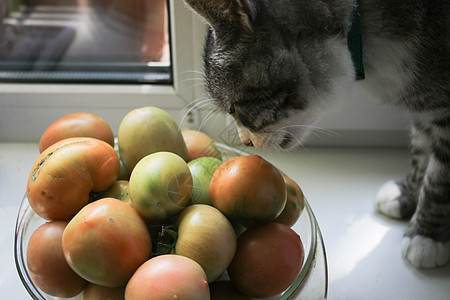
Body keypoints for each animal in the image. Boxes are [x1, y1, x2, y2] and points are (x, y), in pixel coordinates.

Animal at [181, 0, 448, 268]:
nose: (246, 141)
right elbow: (419, 157)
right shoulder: (423, 110)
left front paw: (426, 236)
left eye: (234, 108)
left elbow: (437, 178)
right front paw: (405, 196)